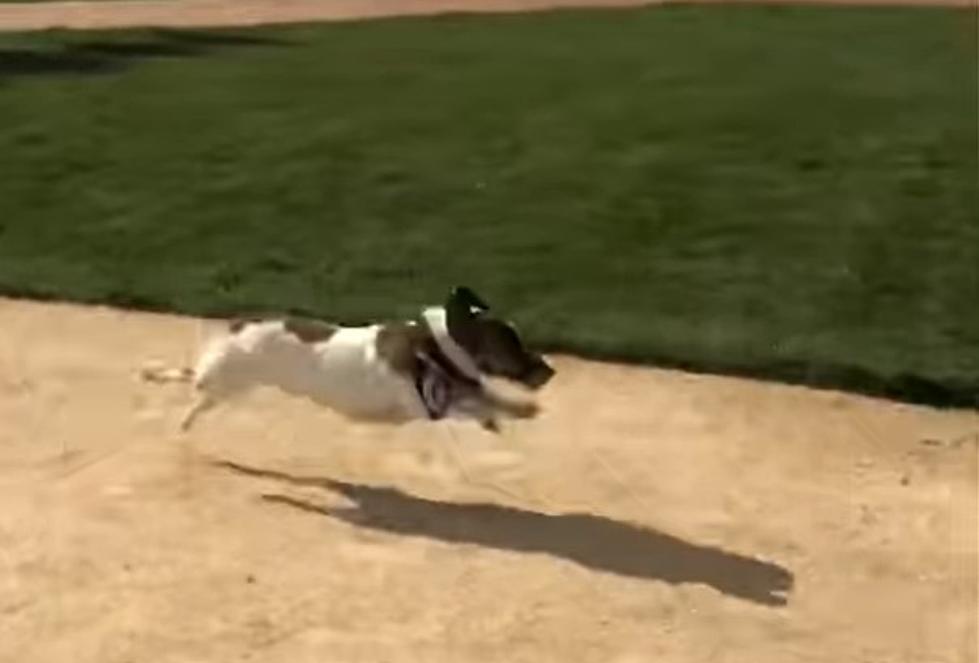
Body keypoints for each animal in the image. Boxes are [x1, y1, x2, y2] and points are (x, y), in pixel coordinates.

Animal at [144, 286, 560, 436]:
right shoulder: (426, 406)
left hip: (231, 381)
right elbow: (478, 401)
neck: (433, 348)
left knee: (195, 380)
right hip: (229, 380)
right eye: (509, 345)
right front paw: (518, 409)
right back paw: (180, 408)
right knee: (197, 386)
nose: (550, 370)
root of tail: (239, 327)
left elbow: (482, 397)